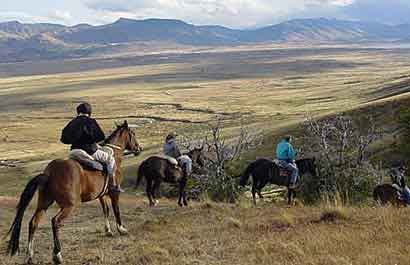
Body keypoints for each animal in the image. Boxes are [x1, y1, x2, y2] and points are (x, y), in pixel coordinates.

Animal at [6, 120, 144, 262]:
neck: (114, 156)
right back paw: (57, 254)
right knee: (55, 222)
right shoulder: (114, 193)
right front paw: (121, 229)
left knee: (33, 223)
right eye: (133, 133)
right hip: (69, 206)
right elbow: (116, 210)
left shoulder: (102, 195)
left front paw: (108, 231)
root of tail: (49, 173)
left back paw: (30, 256)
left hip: (44, 203)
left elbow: (105, 210)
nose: (139, 149)